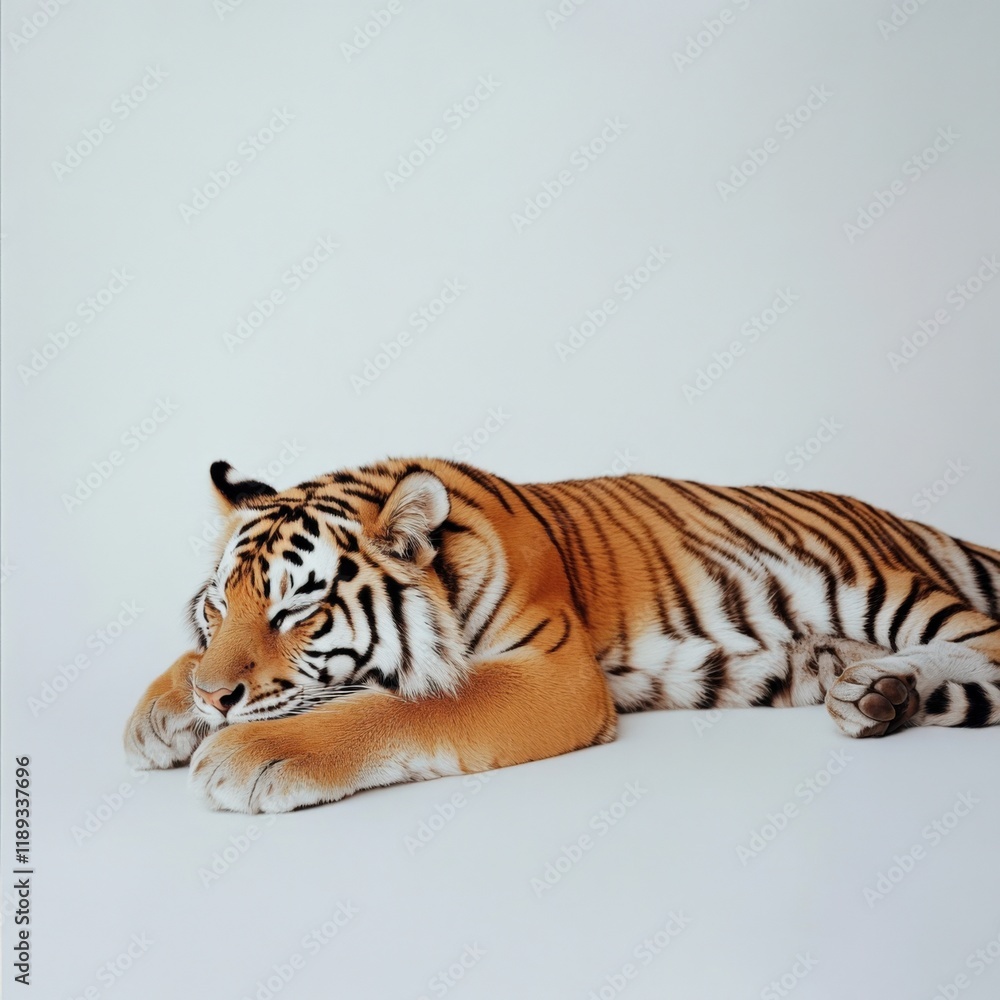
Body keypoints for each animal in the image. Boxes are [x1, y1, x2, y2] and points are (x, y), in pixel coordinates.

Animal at [124, 458, 1000, 813]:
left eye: (294, 613)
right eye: (217, 609)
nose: (214, 699)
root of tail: (907, 522)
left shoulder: (553, 671)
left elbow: (402, 705)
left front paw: (243, 754)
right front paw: (161, 714)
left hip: (881, 588)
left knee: (987, 638)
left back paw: (883, 687)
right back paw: (877, 692)